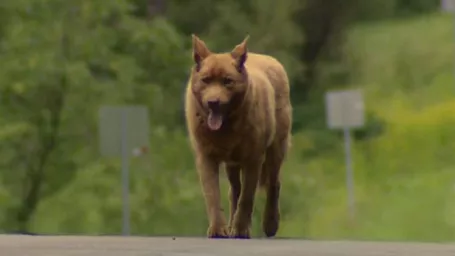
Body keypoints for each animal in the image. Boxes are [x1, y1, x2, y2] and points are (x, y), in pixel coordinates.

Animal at [184, 34, 294, 238]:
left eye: (228, 81)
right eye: (206, 80)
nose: (213, 102)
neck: (226, 128)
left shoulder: (254, 159)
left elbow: (247, 198)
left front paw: (241, 229)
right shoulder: (206, 157)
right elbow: (213, 195)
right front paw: (218, 229)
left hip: (275, 151)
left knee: (274, 184)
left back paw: (270, 224)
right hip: (232, 165)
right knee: (234, 190)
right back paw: (231, 223)